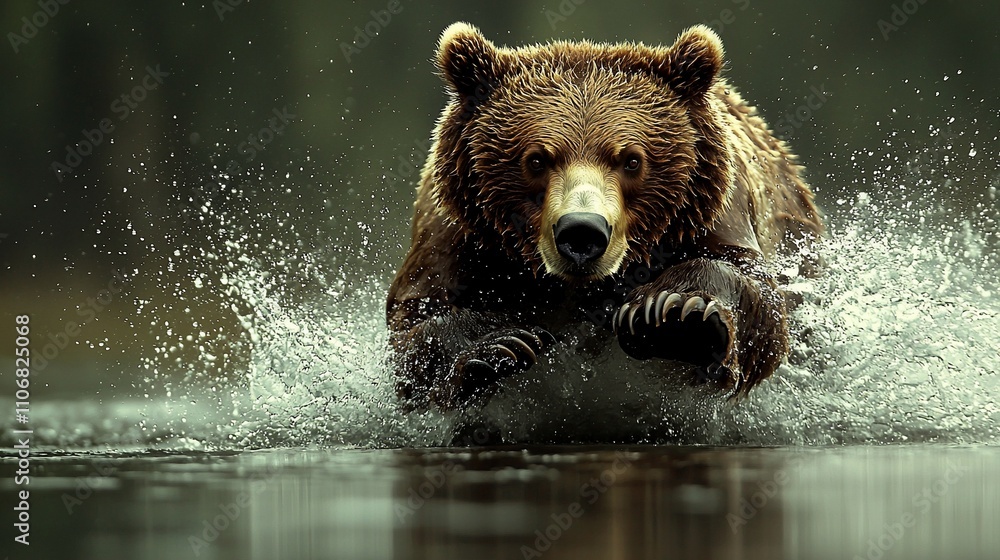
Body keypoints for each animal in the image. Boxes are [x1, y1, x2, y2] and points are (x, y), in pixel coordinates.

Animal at [386, 22, 823, 410]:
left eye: (632, 159)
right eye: (537, 159)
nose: (582, 232)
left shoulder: (710, 211)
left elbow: (755, 292)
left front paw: (673, 316)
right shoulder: (464, 233)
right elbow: (417, 316)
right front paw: (497, 347)